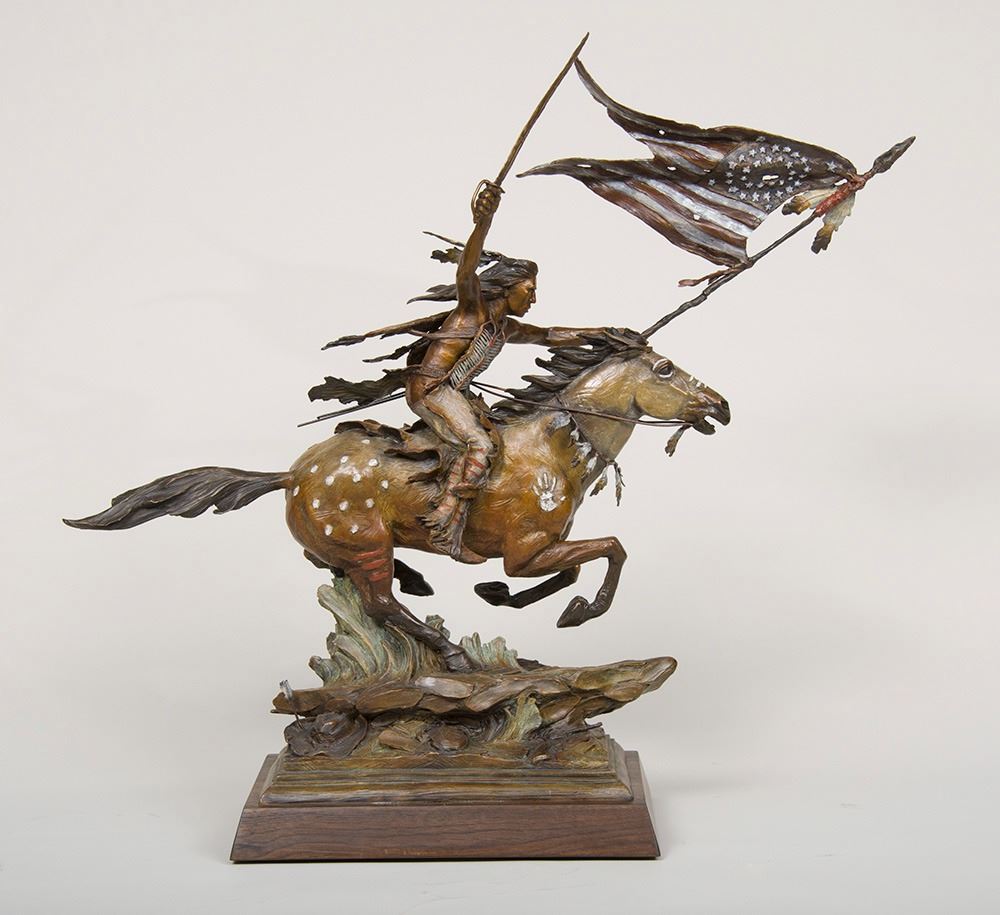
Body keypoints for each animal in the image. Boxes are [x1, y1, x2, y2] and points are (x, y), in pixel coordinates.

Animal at [65, 333, 729, 671]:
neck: (554, 445)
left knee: (335, 571)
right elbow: (613, 549)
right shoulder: (527, 551)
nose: (720, 406)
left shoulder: (543, 547)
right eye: (665, 369)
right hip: (366, 543)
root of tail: (290, 475)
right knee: (377, 601)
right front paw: (579, 612)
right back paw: (450, 652)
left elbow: (570, 569)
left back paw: (420, 584)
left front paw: (506, 598)